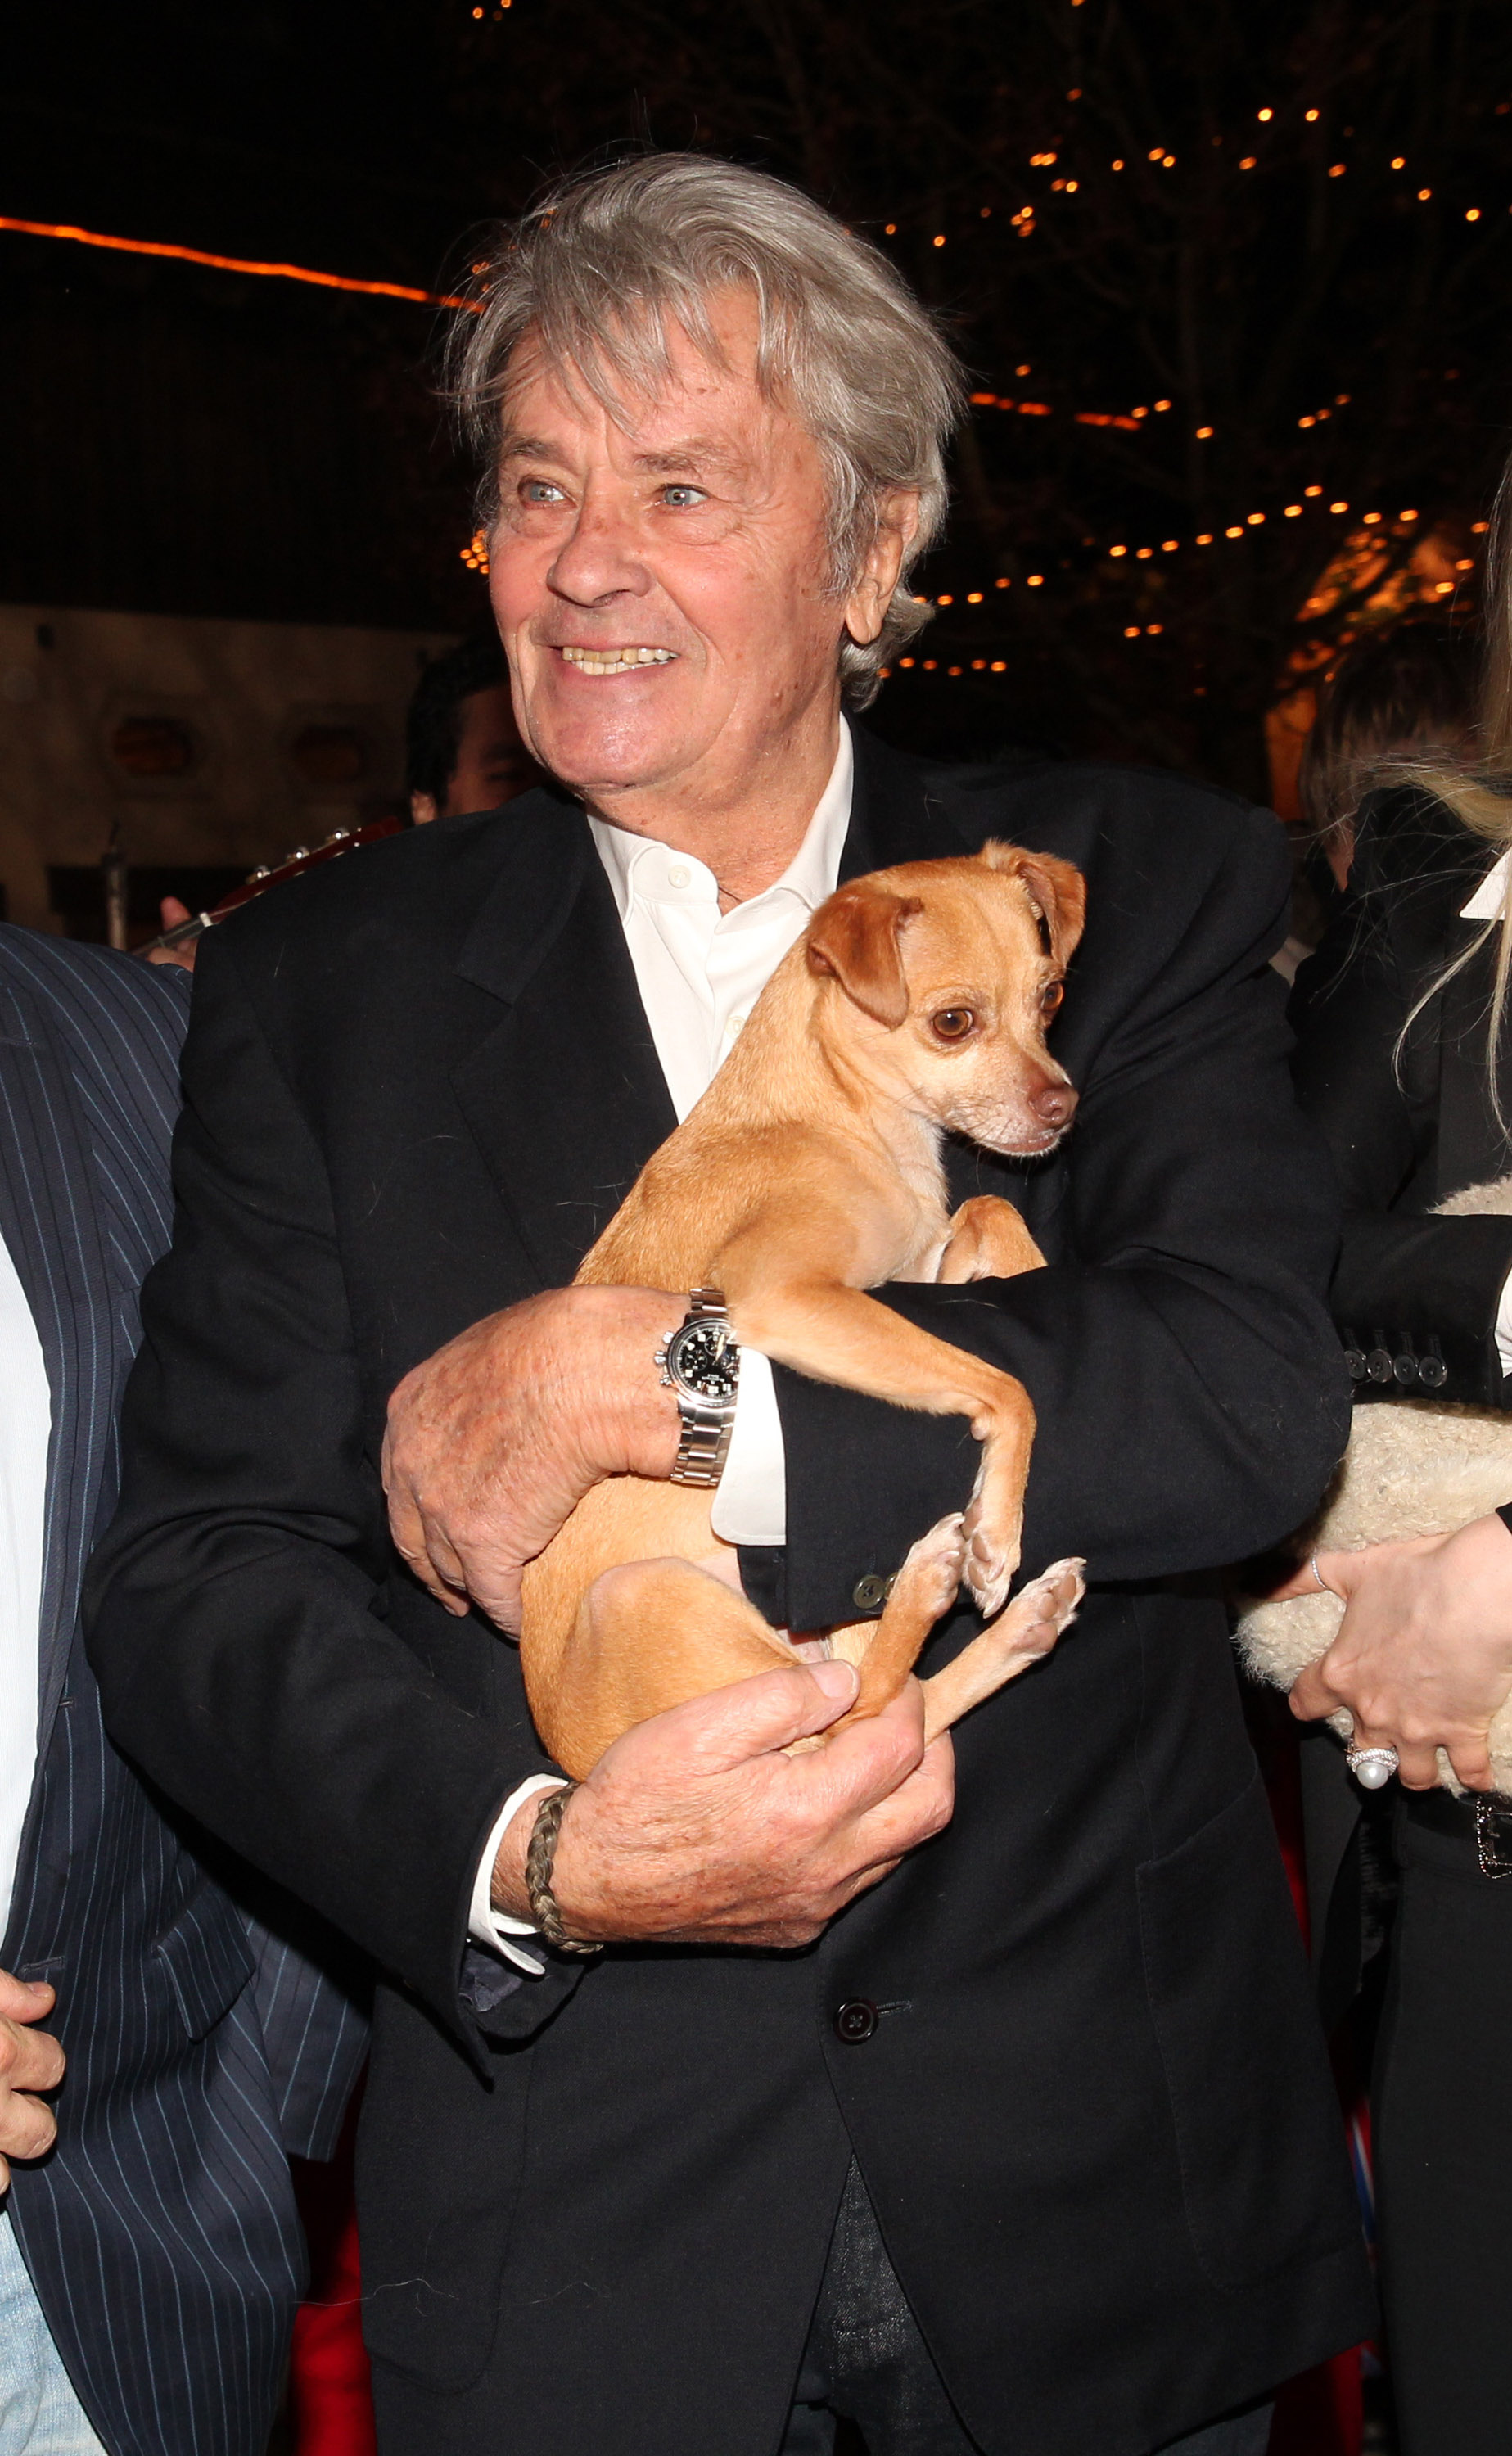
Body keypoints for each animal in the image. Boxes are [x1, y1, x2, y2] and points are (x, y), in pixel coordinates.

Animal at [520, 840, 1085, 1768]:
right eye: (952, 1023)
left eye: (1051, 997)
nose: (1062, 1107)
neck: (846, 1113)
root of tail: (572, 1751)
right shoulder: (783, 1296)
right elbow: (1005, 1387)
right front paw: (997, 1529)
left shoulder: (911, 1274)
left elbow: (986, 1211)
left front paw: (1032, 1268)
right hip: (654, 1604)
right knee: (857, 1718)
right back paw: (933, 1581)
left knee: (905, 1707)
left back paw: (1022, 1626)